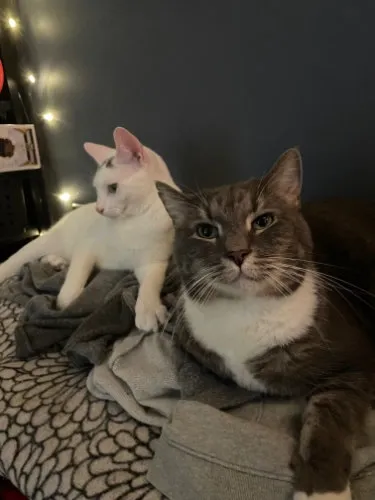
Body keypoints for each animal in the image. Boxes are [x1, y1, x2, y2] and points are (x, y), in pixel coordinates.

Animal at [0, 127, 178, 334]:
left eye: (113, 188)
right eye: (98, 190)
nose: (98, 209)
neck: (132, 221)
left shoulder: (153, 261)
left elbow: (150, 283)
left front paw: (148, 308)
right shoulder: (86, 247)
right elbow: (77, 273)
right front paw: (65, 301)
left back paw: (56, 261)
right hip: (43, 244)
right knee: (17, 260)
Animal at [157, 150, 375, 500]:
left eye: (262, 222)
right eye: (206, 231)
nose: (237, 252)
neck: (246, 313)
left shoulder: (354, 363)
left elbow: (326, 418)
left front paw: (323, 490)